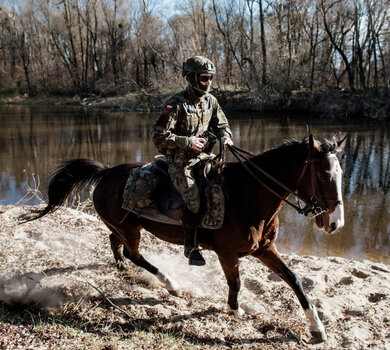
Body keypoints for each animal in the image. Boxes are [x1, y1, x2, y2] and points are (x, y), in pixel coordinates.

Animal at [25, 134, 346, 342]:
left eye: (340, 173)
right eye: (323, 173)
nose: (335, 223)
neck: (248, 195)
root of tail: (105, 174)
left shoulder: (265, 248)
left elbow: (294, 279)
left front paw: (316, 328)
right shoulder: (227, 253)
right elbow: (236, 282)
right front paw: (234, 309)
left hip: (125, 226)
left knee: (115, 243)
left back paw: (121, 267)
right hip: (131, 230)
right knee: (133, 253)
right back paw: (171, 284)